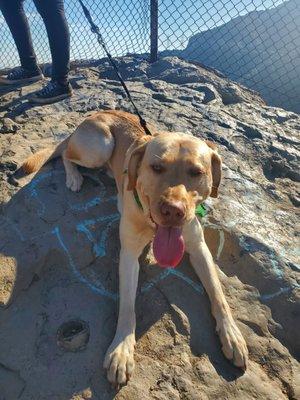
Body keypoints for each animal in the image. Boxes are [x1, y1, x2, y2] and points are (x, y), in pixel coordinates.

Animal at [22, 109, 248, 384]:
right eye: (157, 167)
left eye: (196, 172)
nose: (173, 211)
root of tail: (94, 114)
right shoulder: (128, 254)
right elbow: (127, 306)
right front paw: (122, 349)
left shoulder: (199, 248)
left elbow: (218, 293)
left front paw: (232, 335)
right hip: (101, 146)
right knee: (66, 153)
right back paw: (74, 176)